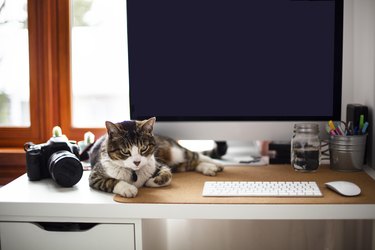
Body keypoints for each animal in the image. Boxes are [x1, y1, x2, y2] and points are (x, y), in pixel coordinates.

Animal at [89, 117, 223, 197]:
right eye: (125, 151)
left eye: (143, 148)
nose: (137, 162)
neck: (135, 172)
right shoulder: (95, 175)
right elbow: (110, 181)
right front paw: (128, 188)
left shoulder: (158, 164)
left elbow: (167, 175)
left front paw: (151, 181)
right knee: (187, 164)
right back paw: (208, 167)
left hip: (174, 151)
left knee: (194, 155)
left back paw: (216, 164)